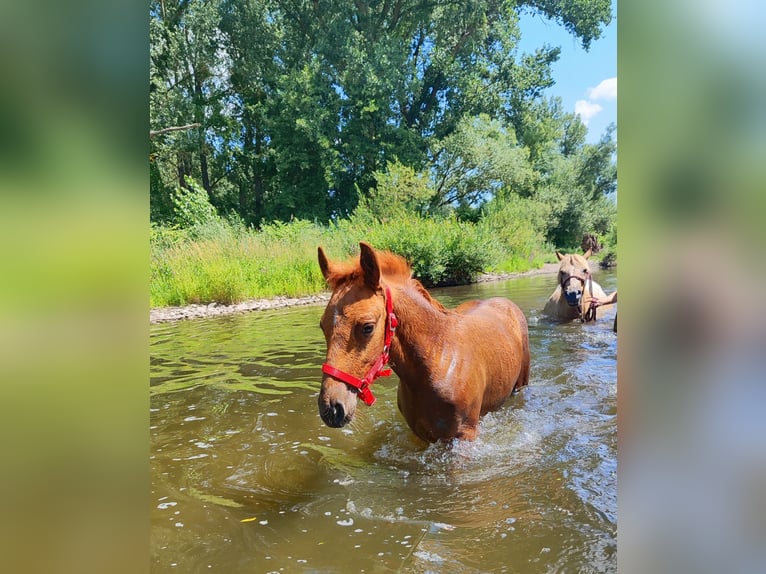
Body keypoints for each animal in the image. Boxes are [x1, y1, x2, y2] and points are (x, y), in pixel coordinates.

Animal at [316, 242, 530, 443]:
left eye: (367, 327)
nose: (331, 408)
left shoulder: (464, 436)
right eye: (322, 326)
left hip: (521, 385)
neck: (438, 359)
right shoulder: (419, 435)